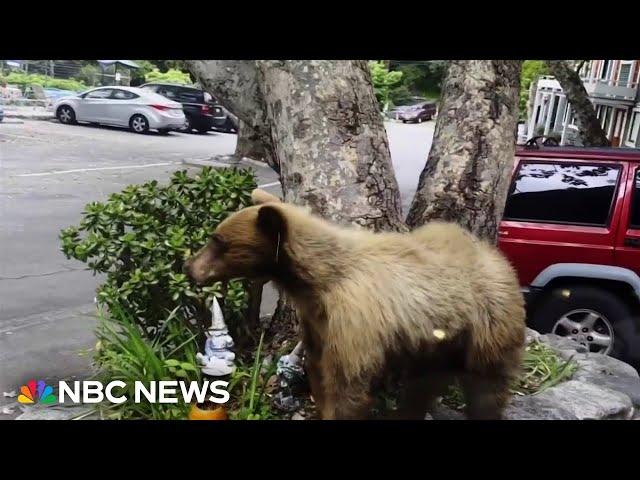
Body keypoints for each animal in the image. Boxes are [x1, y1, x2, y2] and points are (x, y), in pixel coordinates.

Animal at [185, 188, 524, 420]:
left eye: (218, 241)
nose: (189, 267)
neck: (317, 281)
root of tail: (501, 261)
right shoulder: (317, 321)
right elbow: (319, 371)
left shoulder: (353, 321)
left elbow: (347, 385)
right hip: (437, 344)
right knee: (423, 386)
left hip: (488, 330)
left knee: (487, 390)